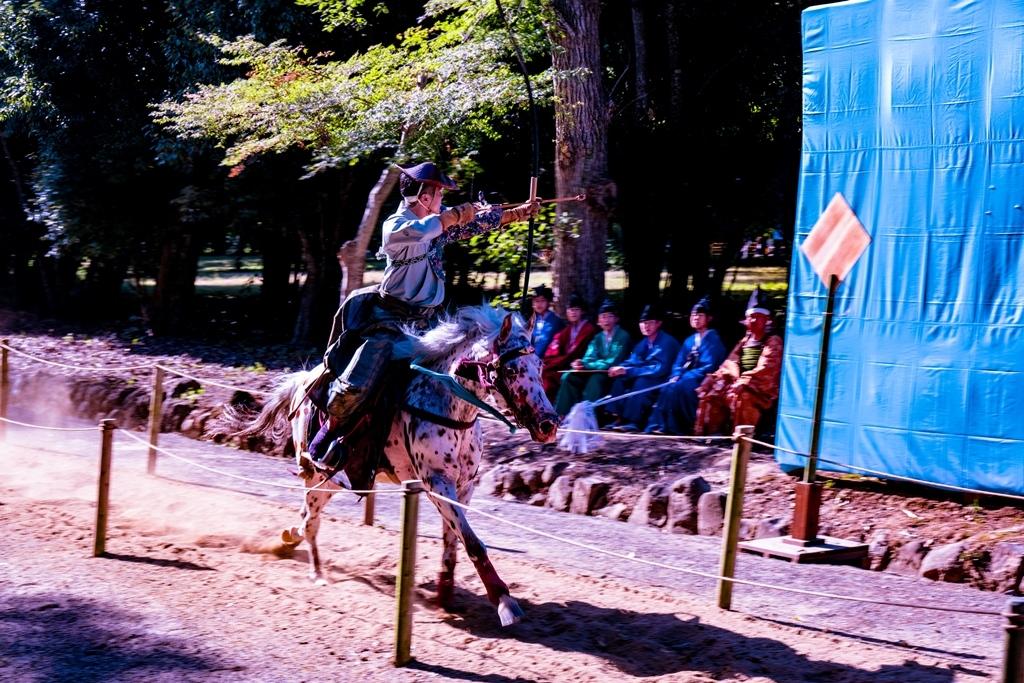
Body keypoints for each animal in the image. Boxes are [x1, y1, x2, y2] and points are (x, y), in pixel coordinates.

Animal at [238, 304, 558, 626]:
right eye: (511, 370)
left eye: (539, 365)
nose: (548, 424)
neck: (447, 404)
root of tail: (303, 381)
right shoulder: (436, 483)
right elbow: (473, 543)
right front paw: (504, 601)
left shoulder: (463, 486)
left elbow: (454, 542)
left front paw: (445, 597)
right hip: (318, 475)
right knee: (311, 521)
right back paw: (316, 571)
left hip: (331, 481)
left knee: (306, 517)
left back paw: (290, 541)